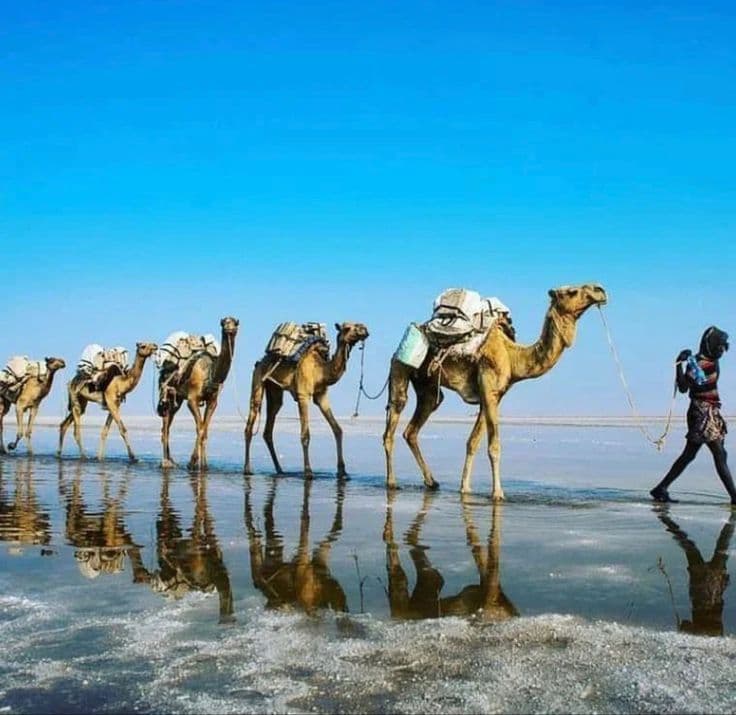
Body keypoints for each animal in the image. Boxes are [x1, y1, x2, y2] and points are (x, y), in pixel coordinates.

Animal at [159, 317, 239, 471]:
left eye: (236, 322)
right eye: (223, 322)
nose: (229, 328)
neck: (210, 372)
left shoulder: (212, 401)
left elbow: (205, 429)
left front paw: (204, 465)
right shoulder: (192, 399)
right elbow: (199, 429)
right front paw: (193, 462)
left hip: (178, 398)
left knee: (168, 423)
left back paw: (171, 461)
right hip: (167, 393)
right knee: (165, 425)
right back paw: (165, 463)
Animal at [243, 322, 369, 478]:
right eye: (346, 328)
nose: (364, 329)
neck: (320, 371)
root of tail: (260, 361)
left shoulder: (321, 396)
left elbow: (337, 430)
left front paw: (342, 471)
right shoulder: (303, 395)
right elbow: (305, 435)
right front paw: (308, 471)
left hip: (274, 389)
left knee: (270, 425)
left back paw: (280, 469)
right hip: (258, 380)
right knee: (251, 420)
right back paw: (247, 469)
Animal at [244, 477, 347, 614]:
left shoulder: (317, 555)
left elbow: (335, 526)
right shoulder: (307, 559)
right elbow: (307, 517)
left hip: (273, 554)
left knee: (264, 520)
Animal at [383, 283, 608, 499]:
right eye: (572, 291)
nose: (600, 290)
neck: (512, 356)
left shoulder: (491, 396)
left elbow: (473, 442)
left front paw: (465, 488)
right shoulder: (489, 388)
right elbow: (494, 446)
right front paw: (498, 493)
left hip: (428, 387)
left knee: (414, 427)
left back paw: (432, 482)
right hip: (400, 367)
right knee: (393, 420)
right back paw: (392, 482)